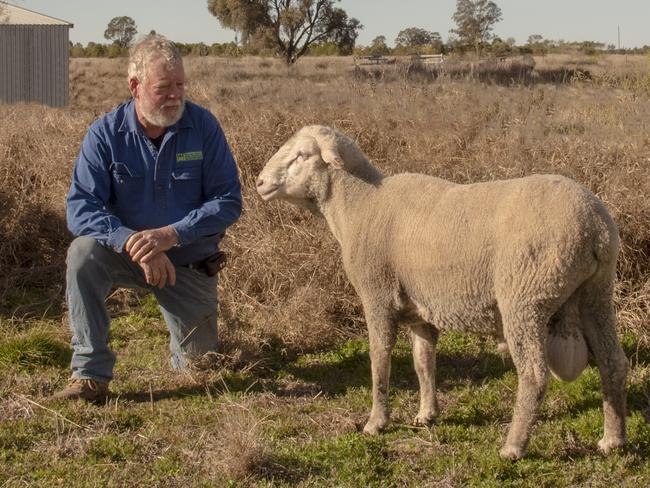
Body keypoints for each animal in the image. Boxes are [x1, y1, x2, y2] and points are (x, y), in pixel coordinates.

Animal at [256, 124, 624, 460]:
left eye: (301, 155)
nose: (259, 183)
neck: (361, 206)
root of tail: (595, 226)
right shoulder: (420, 309)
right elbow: (423, 361)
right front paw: (427, 414)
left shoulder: (377, 295)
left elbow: (380, 359)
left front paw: (376, 422)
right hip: (596, 293)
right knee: (612, 362)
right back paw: (612, 440)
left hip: (526, 297)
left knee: (534, 374)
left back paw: (513, 447)